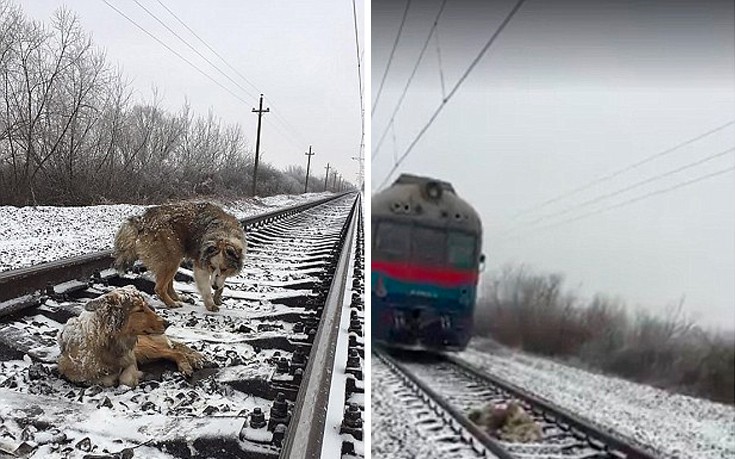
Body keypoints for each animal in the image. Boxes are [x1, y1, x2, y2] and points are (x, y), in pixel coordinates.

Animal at [57, 288, 206, 388]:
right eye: (139, 310)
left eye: (147, 306)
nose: (168, 323)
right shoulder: (73, 373)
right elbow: (104, 379)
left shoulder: (131, 359)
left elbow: (125, 379)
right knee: (173, 350)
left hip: (144, 349)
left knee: (175, 351)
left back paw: (187, 365)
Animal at [113, 202, 247, 312]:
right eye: (211, 267)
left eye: (225, 269)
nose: (214, 286)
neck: (224, 234)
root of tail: (142, 220)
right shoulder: (200, 264)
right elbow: (205, 288)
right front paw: (210, 303)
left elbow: (221, 282)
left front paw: (217, 296)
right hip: (172, 257)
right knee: (159, 288)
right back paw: (172, 303)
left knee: (169, 285)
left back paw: (179, 298)